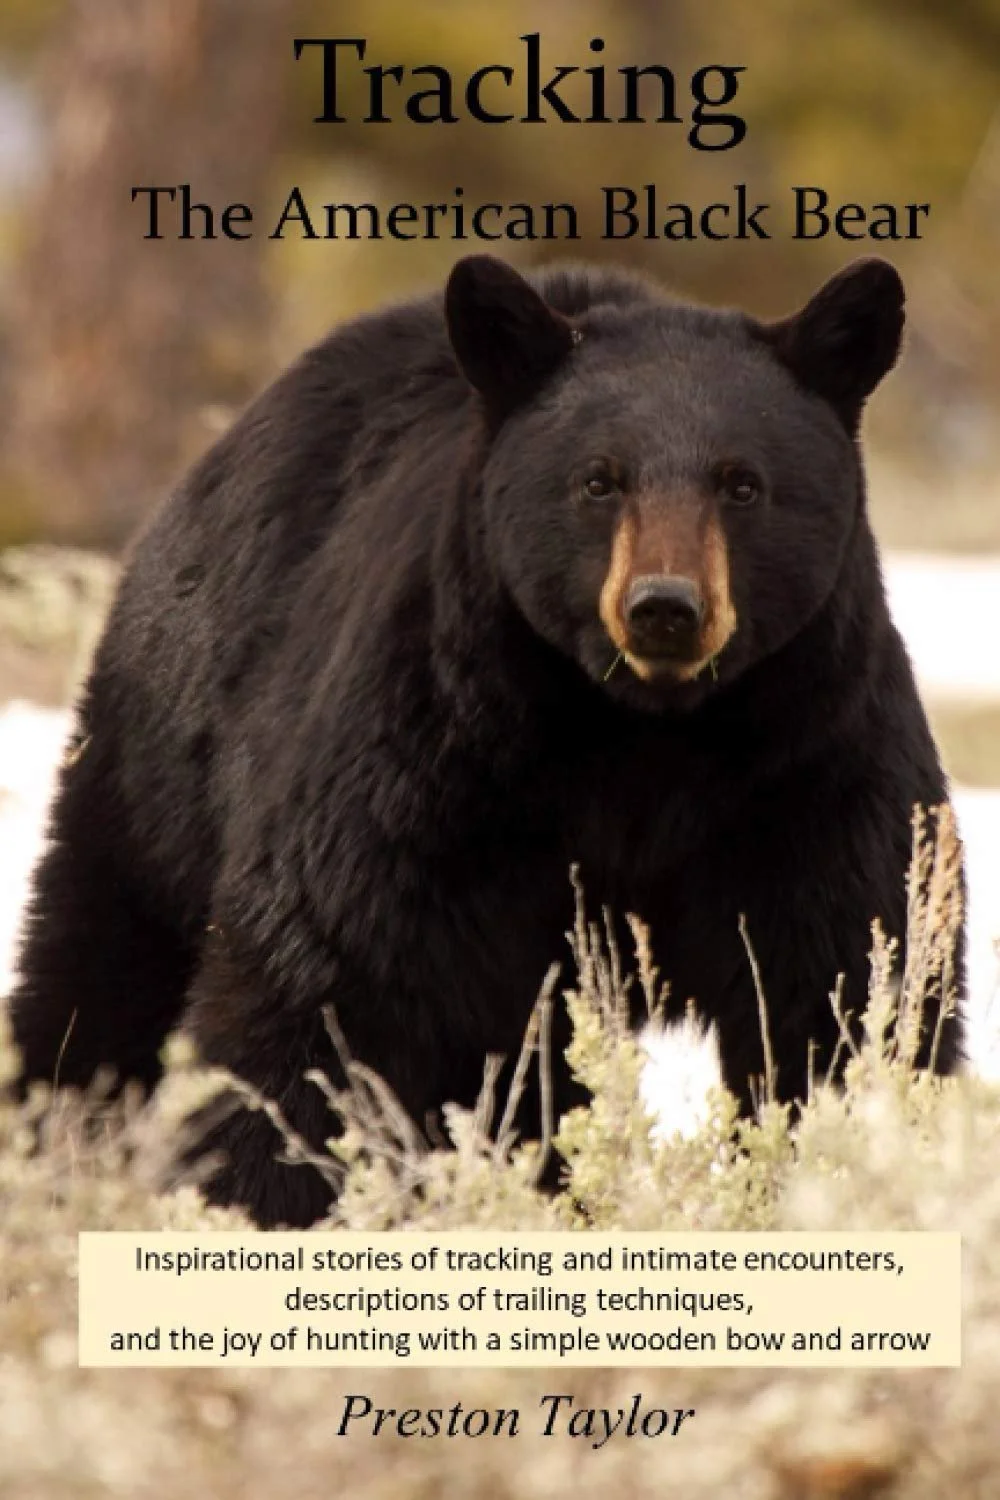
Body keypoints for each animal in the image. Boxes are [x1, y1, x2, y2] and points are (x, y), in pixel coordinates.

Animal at [8, 253, 964, 1227]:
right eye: (599, 479)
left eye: (743, 483)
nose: (664, 607)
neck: (643, 736)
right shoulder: (430, 758)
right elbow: (328, 986)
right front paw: (263, 1196)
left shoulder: (811, 762)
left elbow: (847, 989)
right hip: (160, 759)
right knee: (100, 970)